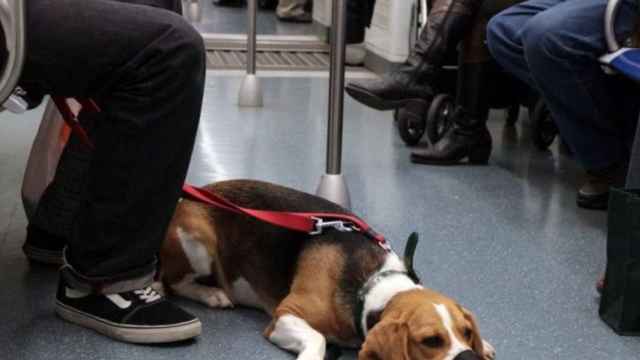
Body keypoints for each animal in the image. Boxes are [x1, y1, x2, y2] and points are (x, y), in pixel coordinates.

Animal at [158, 180, 498, 360]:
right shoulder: (286, 316)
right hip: (198, 240)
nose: (469, 358)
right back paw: (211, 294)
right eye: (430, 341)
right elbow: (318, 338)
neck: (369, 286)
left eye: (467, 332)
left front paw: (484, 345)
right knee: (175, 282)